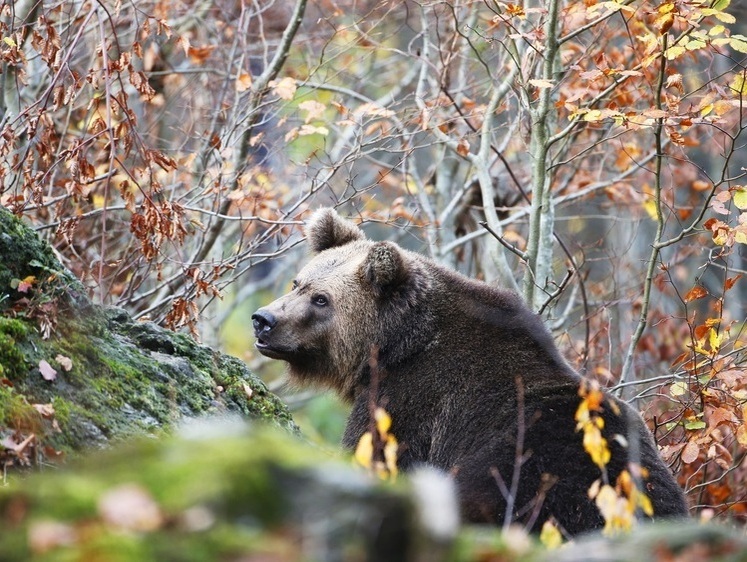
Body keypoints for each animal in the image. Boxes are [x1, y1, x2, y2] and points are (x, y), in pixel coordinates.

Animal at [253, 207, 688, 532]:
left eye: (322, 299)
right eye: (298, 282)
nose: (263, 320)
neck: (394, 346)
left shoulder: (409, 405)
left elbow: (374, 454)